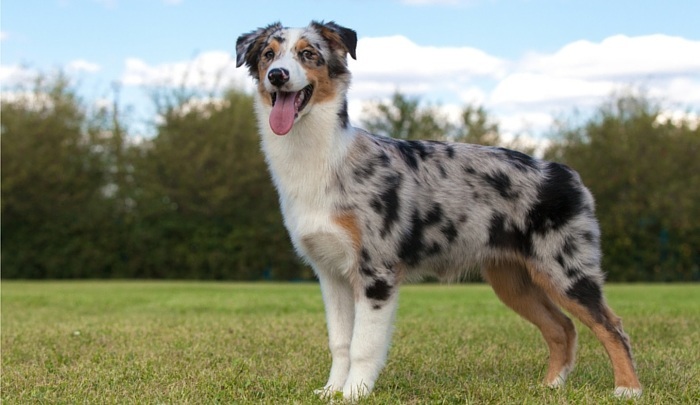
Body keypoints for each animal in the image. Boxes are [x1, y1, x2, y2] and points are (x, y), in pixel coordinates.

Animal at [238, 21, 644, 398]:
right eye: (268, 55)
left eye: (308, 54)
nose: (278, 76)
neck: (320, 158)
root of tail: (566, 172)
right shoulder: (331, 274)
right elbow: (339, 342)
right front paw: (332, 391)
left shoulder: (376, 274)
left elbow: (363, 346)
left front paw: (354, 393)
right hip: (513, 281)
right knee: (562, 327)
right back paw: (550, 386)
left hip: (565, 270)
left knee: (612, 326)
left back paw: (627, 389)